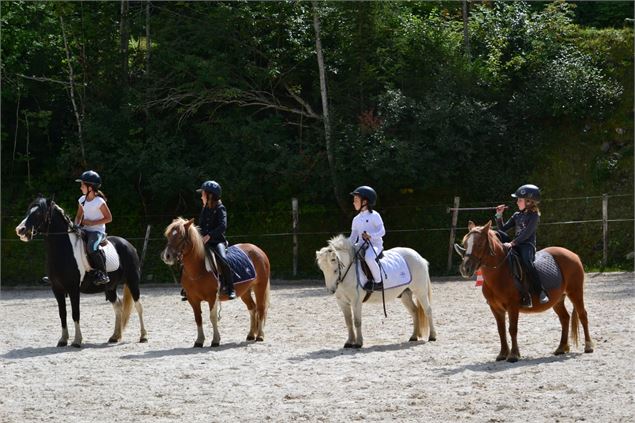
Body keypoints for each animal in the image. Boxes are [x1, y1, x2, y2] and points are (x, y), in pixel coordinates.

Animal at [16, 195, 148, 348]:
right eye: (28, 211)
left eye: (38, 213)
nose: (20, 230)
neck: (63, 250)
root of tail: (128, 245)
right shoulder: (57, 289)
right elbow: (62, 314)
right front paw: (63, 340)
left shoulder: (74, 289)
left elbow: (75, 313)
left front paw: (77, 341)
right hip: (110, 287)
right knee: (118, 307)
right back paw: (115, 337)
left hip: (133, 281)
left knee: (139, 306)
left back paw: (143, 336)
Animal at [160, 219, 270, 348]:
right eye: (168, 236)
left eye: (180, 237)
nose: (167, 256)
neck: (199, 269)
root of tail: (257, 249)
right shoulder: (193, 299)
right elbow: (198, 318)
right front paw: (199, 341)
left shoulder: (212, 297)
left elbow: (213, 318)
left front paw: (216, 340)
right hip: (245, 291)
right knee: (252, 308)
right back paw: (251, 334)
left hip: (260, 287)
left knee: (261, 308)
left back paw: (260, 336)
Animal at [454, 220, 592, 362]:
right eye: (465, 243)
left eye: (480, 244)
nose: (465, 269)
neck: (500, 272)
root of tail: (573, 255)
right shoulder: (495, 308)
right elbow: (501, 330)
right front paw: (503, 354)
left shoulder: (513, 306)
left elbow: (512, 329)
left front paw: (514, 355)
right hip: (558, 300)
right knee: (565, 318)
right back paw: (561, 348)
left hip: (575, 292)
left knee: (583, 315)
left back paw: (588, 346)